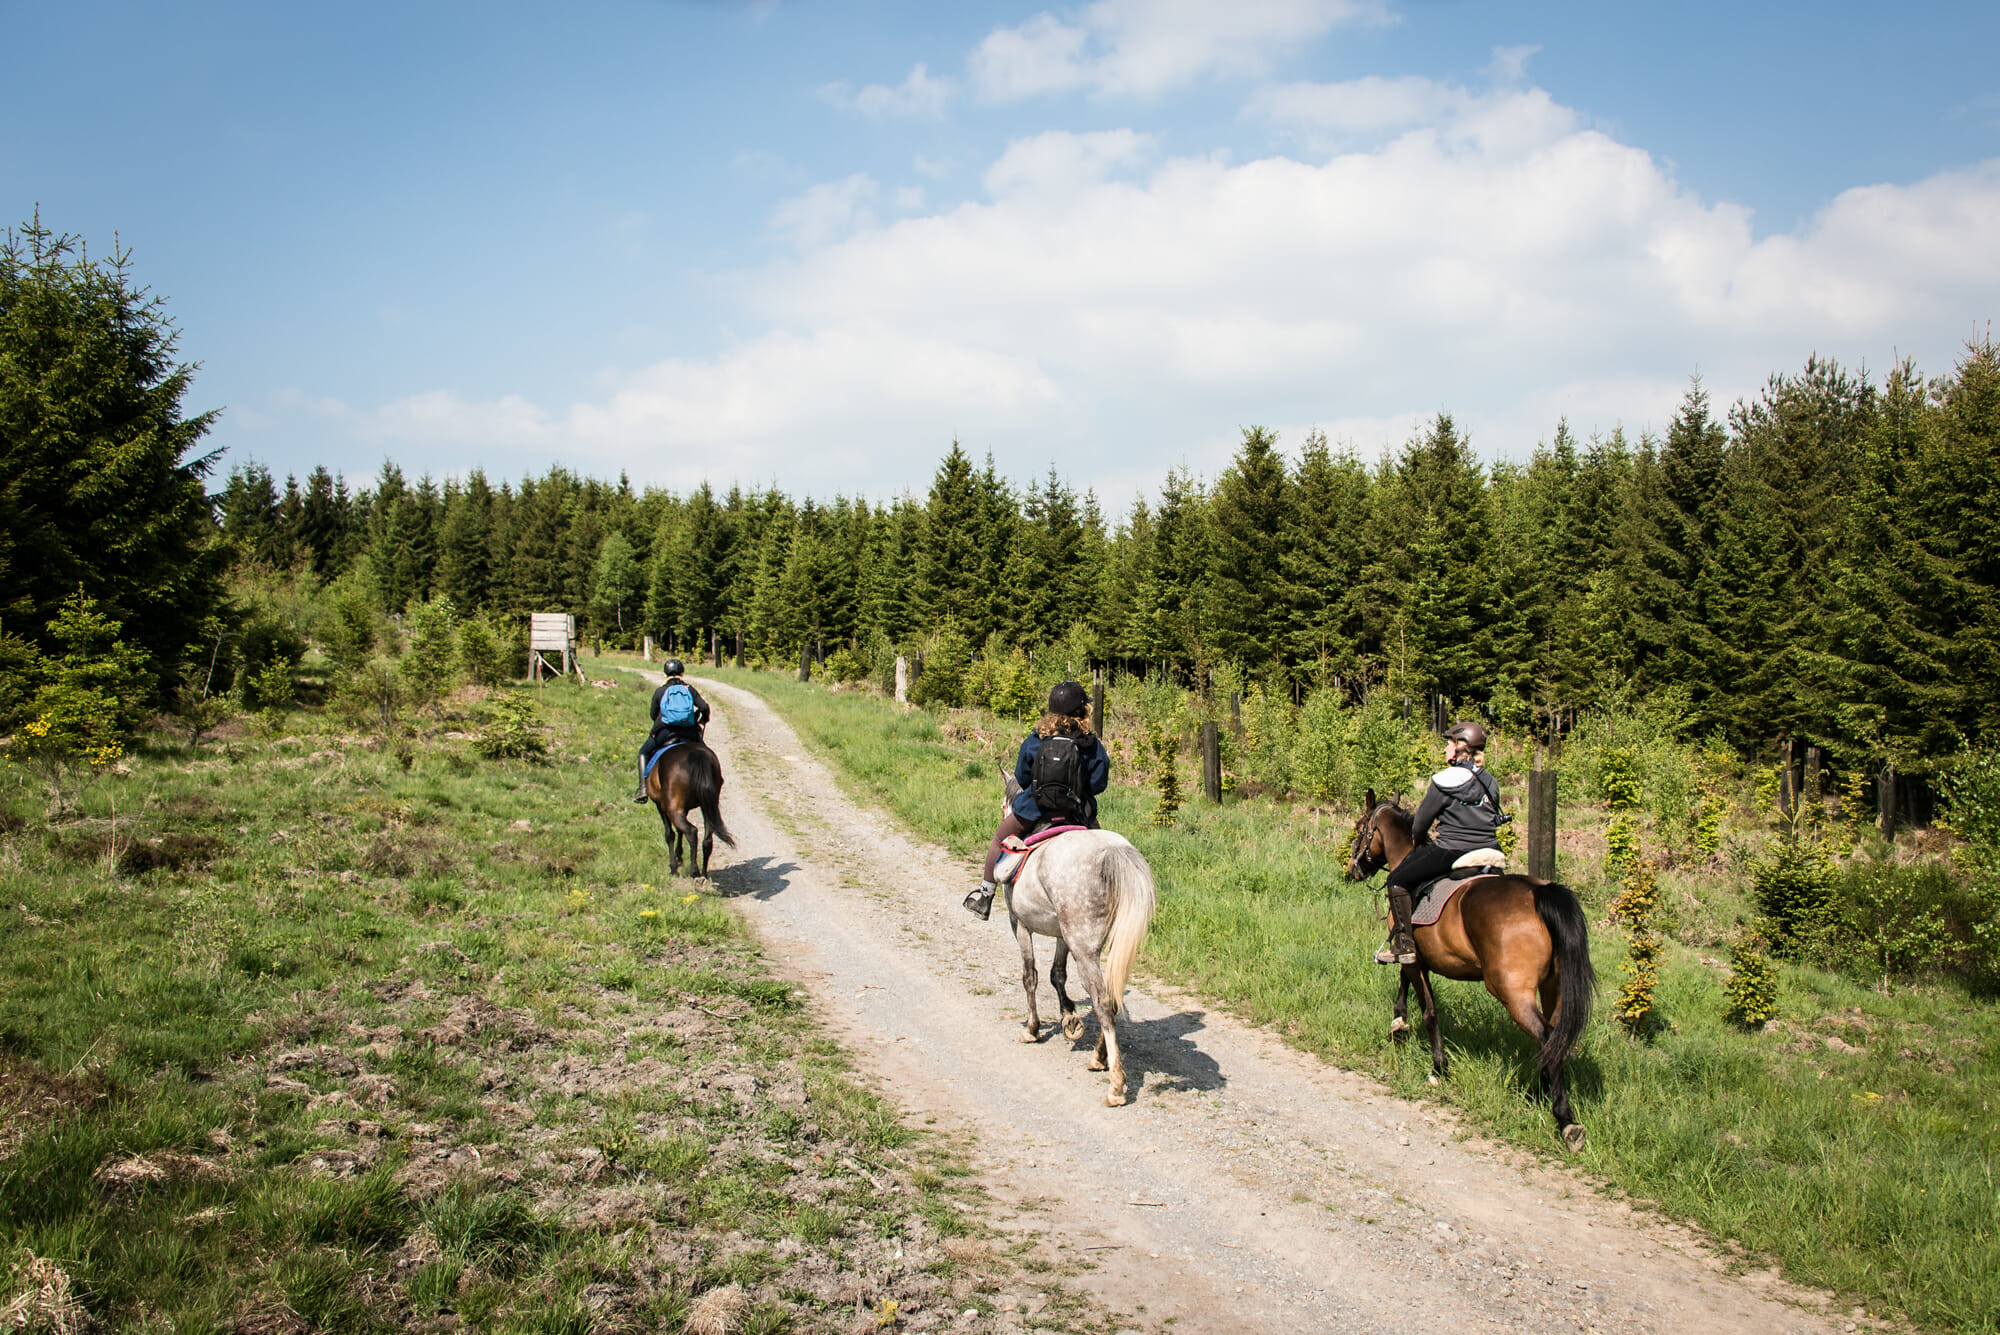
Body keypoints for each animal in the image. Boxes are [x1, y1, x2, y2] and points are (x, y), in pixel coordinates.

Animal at [648, 735, 736, 879]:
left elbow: (670, 834)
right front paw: (679, 856)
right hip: (708, 806)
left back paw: (694, 871)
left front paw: (674, 867)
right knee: (707, 840)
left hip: (672, 808)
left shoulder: (660, 804)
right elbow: (679, 831)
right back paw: (704, 874)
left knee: (691, 831)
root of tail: (696, 754)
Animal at [1000, 771, 1160, 1103]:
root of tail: (1112, 852)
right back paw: (1099, 1058)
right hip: (1092, 942)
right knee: (1111, 998)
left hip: (1085, 949)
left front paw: (1032, 1029)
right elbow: (1056, 974)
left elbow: (1030, 976)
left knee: (1103, 1001)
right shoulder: (1063, 934)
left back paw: (1115, 1083)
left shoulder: (1019, 924)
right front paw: (1070, 1017)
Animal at [1352, 791, 1600, 1151]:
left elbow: (1428, 1009)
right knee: (1555, 1037)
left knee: (1545, 1035)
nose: (1353, 868)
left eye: (1361, 828)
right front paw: (1399, 1024)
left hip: (1511, 990)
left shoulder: (1413, 955)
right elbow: (1404, 982)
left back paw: (1564, 1118)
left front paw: (1438, 1067)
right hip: (1553, 987)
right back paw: (1538, 1093)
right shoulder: (1413, 953)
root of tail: (1539, 892)